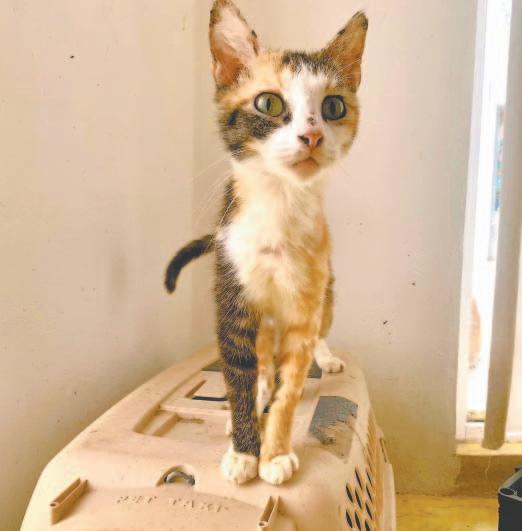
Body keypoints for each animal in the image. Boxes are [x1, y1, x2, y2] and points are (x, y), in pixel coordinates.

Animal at [165, 0, 367, 485]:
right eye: (269, 103)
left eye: (333, 106)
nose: (311, 136)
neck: (279, 208)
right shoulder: (233, 297)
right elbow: (239, 374)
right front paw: (244, 449)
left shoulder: (303, 305)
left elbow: (291, 383)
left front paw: (274, 454)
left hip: (325, 291)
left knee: (318, 332)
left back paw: (325, 358)